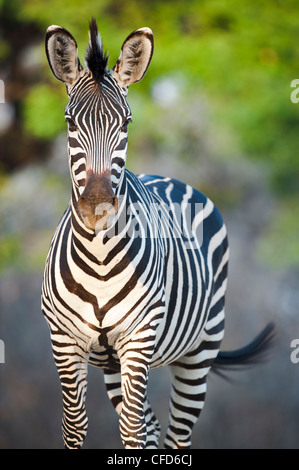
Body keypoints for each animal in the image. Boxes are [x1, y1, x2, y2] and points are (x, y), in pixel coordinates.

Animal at [42, 18, 276, 450]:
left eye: (126, 123)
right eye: (69, 122)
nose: (97, 207)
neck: (98, 258)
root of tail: (169, 178)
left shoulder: (138, 337)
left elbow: (133, 430)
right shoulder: (64, 340)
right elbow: (75, 425)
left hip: (199, 351)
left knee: (173, 435)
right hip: (113, 365)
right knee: (148, 427)